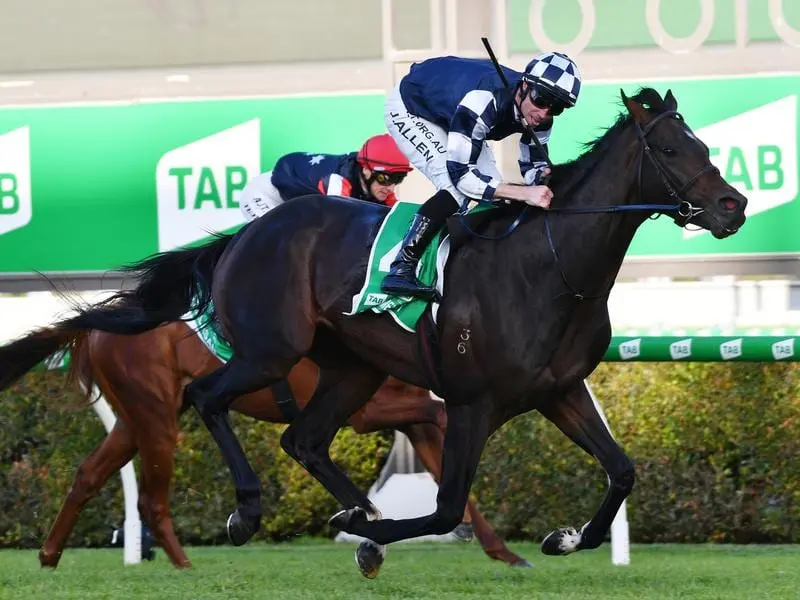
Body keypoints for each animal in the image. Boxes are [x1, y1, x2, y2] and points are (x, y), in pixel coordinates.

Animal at [1, 322, 532, 568]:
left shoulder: (409, 411)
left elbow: (447, 466)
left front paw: (502, 551)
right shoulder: (369, 411)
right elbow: (443, 423)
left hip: (136, 419)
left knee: (89, 474)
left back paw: (49, 555)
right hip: (154, 415)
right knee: (151, 498)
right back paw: (185, 565)